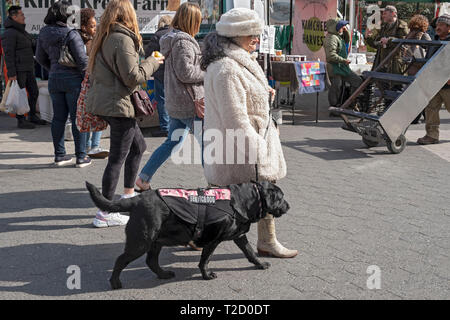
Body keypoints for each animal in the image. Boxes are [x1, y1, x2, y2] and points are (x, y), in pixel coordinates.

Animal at [86, 180, 290, 290]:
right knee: (121, 260)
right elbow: (205, 259)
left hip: (155, 241)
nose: (288, 206)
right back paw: (115, 282)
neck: (240, 200)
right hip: (141, 241)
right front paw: (206, 275)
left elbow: (249, 252)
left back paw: (163, 274)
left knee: (151, 261)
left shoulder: (239, 236)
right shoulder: (213, 239)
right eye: (281, 198)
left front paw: (260, 263)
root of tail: (136, 199)